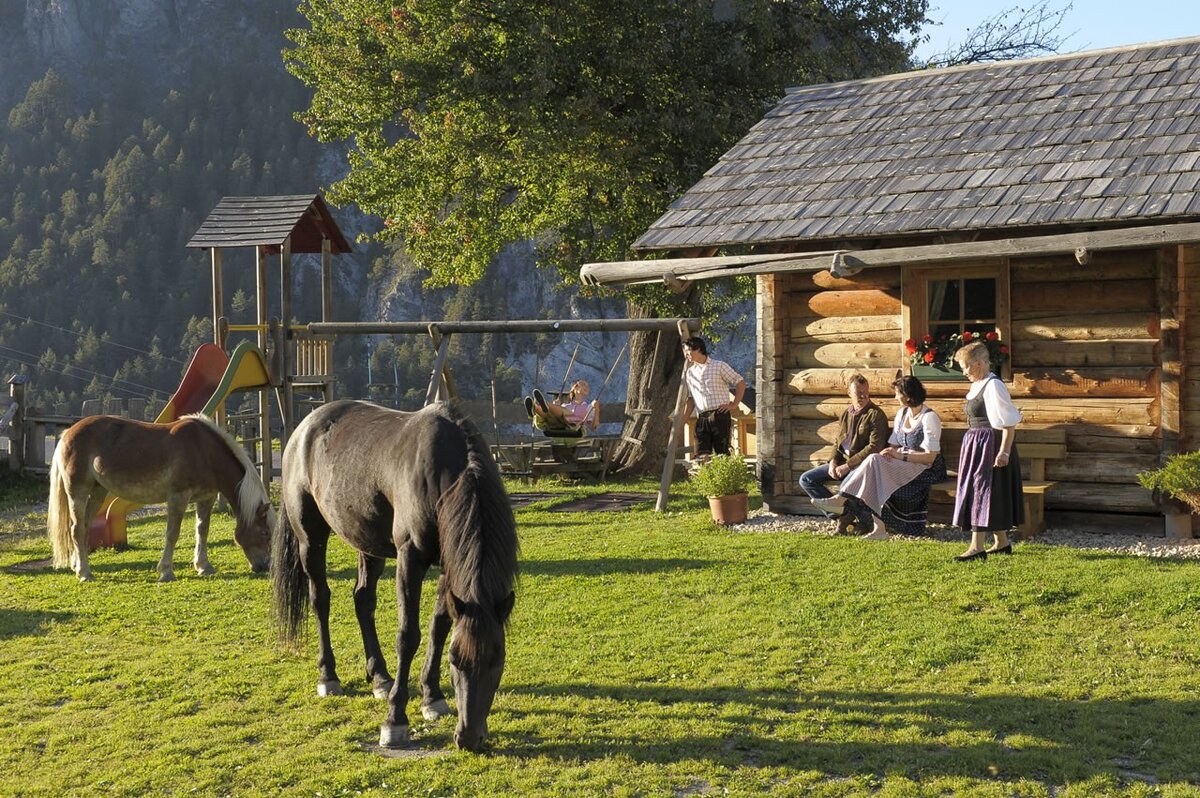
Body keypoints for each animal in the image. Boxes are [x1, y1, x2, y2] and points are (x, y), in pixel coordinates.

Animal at [46, 412, 272, 583]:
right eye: (264, 533)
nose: (265, 566)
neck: (204, 451)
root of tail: (67, 434)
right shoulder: (178, 497)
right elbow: (172, 534)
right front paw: (166, 571)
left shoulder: (206, 498)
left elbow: (203, 531)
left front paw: (204, 566)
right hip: (78, 491)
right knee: (76, 529)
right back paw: (85, 574)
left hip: (98, 492)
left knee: (84, 527)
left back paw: (78, 566)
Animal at [274, 400, 518, 748]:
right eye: (456, 661)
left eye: (498, 661)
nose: (470, 737)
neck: (445, 470)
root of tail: (305, 427)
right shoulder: (410, 558)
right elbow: (408, 635)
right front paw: (395, 719)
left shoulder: (448, 565)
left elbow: (439, 625)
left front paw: (432, 697)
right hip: (311, 538)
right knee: (320, 599)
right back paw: (328, 676)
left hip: (367, 540)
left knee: (363, 600)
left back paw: (379, 677)